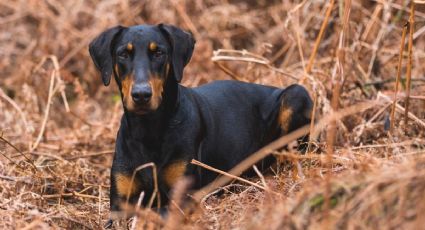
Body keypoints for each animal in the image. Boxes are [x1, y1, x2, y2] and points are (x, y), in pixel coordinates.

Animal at [88, 23, 312, 225]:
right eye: (123, 54)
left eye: (159, 53)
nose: (141, 95)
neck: (149, 129)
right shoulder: (119, 204)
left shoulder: (183, 196)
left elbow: (157, 212)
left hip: (295, 95)